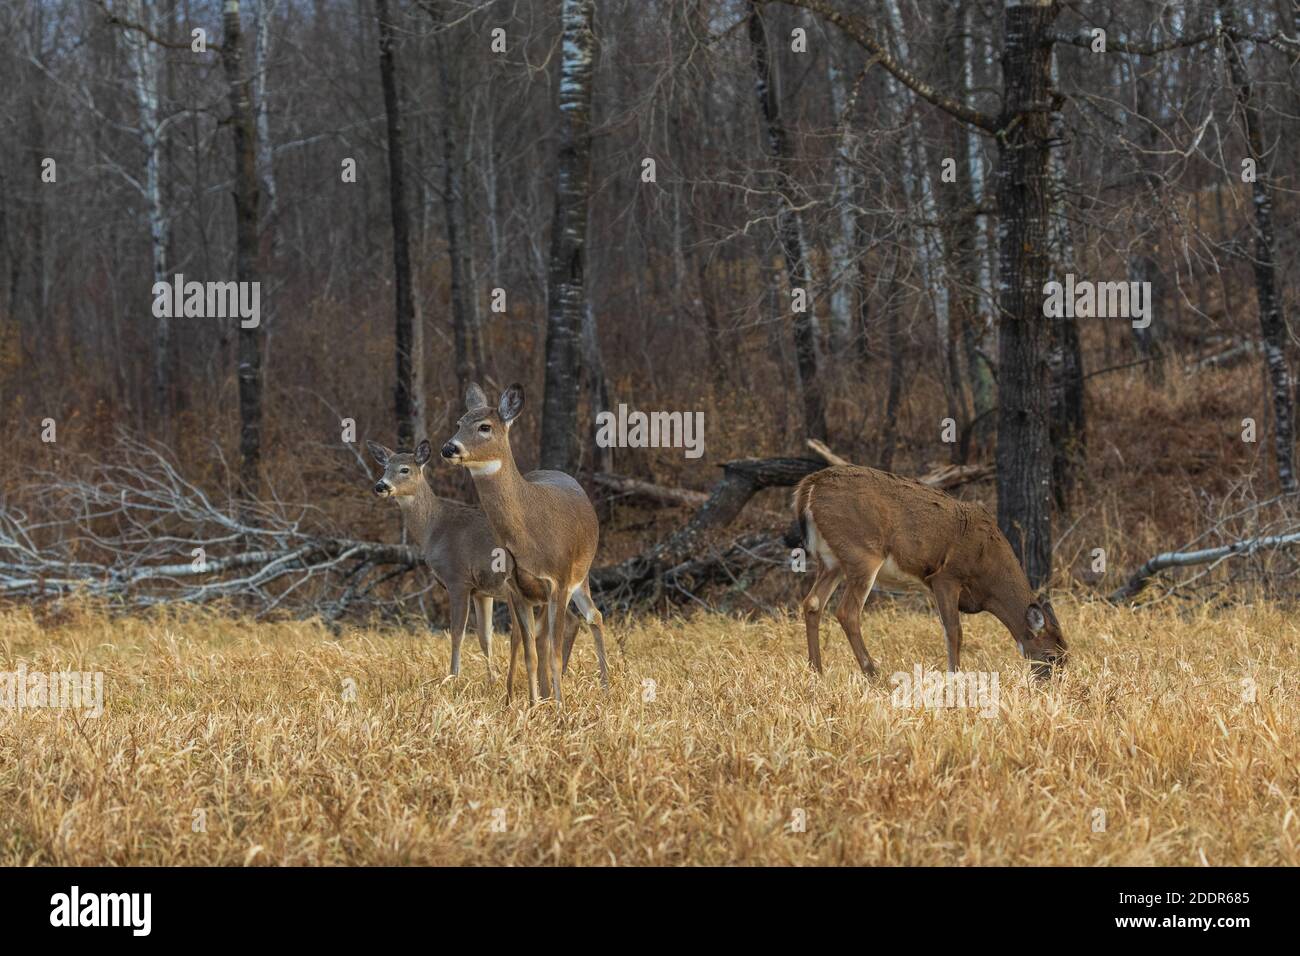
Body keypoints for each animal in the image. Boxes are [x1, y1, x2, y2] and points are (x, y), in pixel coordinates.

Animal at [441, 382, 613, 702]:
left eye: (485, 427)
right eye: (458, 423)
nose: (449, 448)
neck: (529, 534)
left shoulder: (558, 581)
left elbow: (552, 652)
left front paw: (559, 705)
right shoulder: (515, 586)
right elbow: (531, 651)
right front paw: (534, 704)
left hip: (580, 574)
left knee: (593, 616)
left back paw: (605, 686)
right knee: (551, 633)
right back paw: (547, 691)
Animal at [790, 465, 1066, 676]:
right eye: (1052, 657)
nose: (1051, 685)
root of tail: (810, 487)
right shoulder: (947, 576)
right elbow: (954, 631)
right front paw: (955, 676)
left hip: (831, 561)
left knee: (812, 603)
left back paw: (816, 672)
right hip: (863, 552)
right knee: (847, 612)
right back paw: (875, 675)